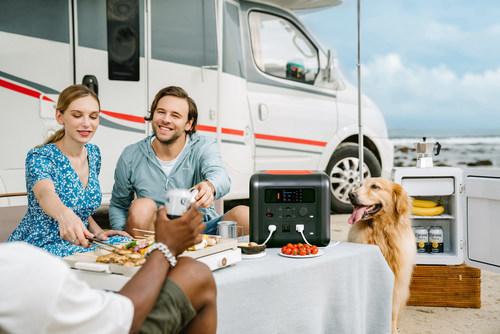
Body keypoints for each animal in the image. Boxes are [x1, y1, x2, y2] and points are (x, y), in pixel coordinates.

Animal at [348, 177, 414, 332]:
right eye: (360, 185)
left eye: (375, 187)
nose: (351, 195)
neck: (380, 231)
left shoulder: (397, 283)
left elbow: (392, 311)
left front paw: (392, 329)